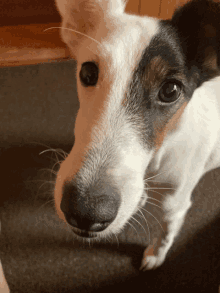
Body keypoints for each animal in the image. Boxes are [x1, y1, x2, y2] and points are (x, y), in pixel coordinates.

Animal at [52, 0, 220, 270]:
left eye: (171, 90)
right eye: (88, 73)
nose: (86, 214)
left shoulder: (175, 204)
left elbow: (166, 231)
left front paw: (156, 255)